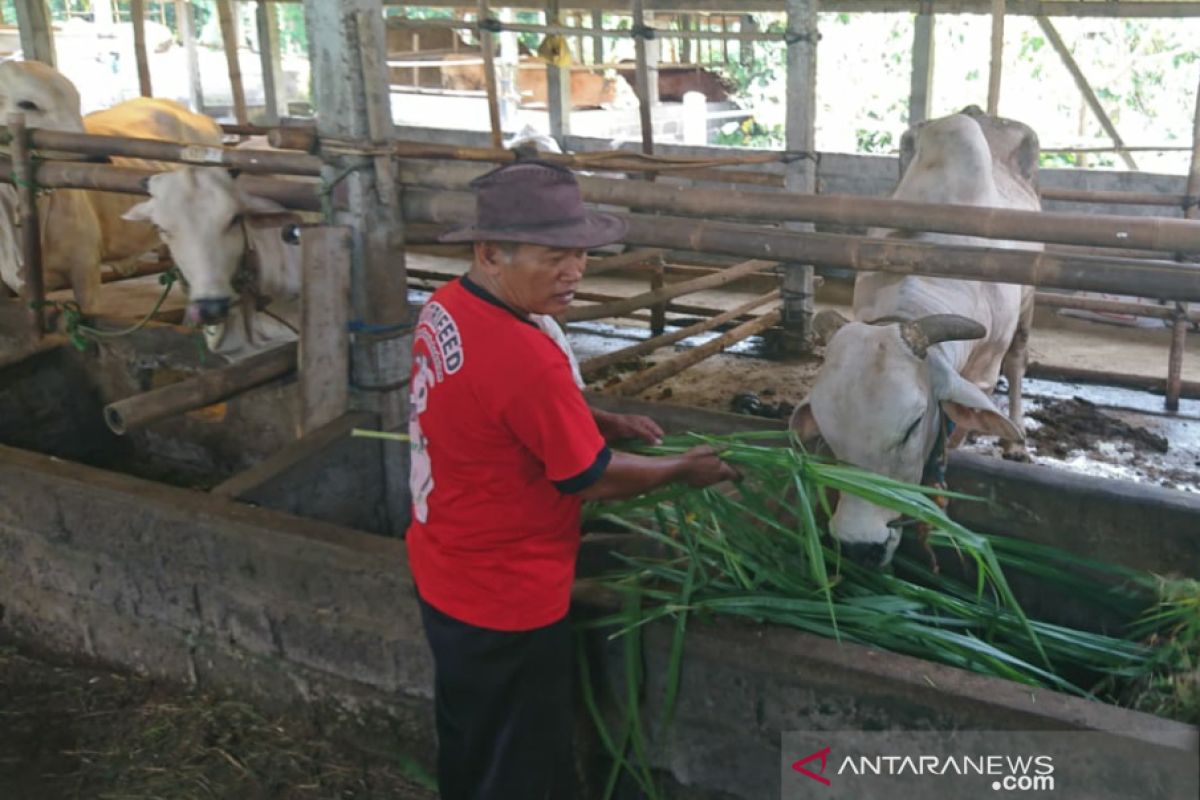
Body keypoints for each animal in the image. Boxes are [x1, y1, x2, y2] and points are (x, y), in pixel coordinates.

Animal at [792, 107, 1036, 568]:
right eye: (828, 432)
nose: (858, 546)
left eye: (912, 427)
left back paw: (1017, 444)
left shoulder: (983, 372)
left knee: (1019, 362)